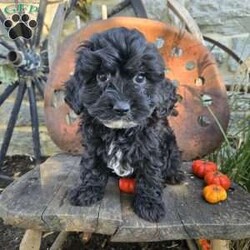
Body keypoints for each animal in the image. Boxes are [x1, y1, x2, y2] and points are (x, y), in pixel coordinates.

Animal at [65, 27, 184, 223]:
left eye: (140, 78)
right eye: (102, 76)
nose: (121, 108)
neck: (120, 131)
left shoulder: (151, 147)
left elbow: (150, 173)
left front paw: (150, 204)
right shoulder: (92, 144)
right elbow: (91, 166)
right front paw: (86, 191)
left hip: (171, 146)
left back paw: (175, 175)